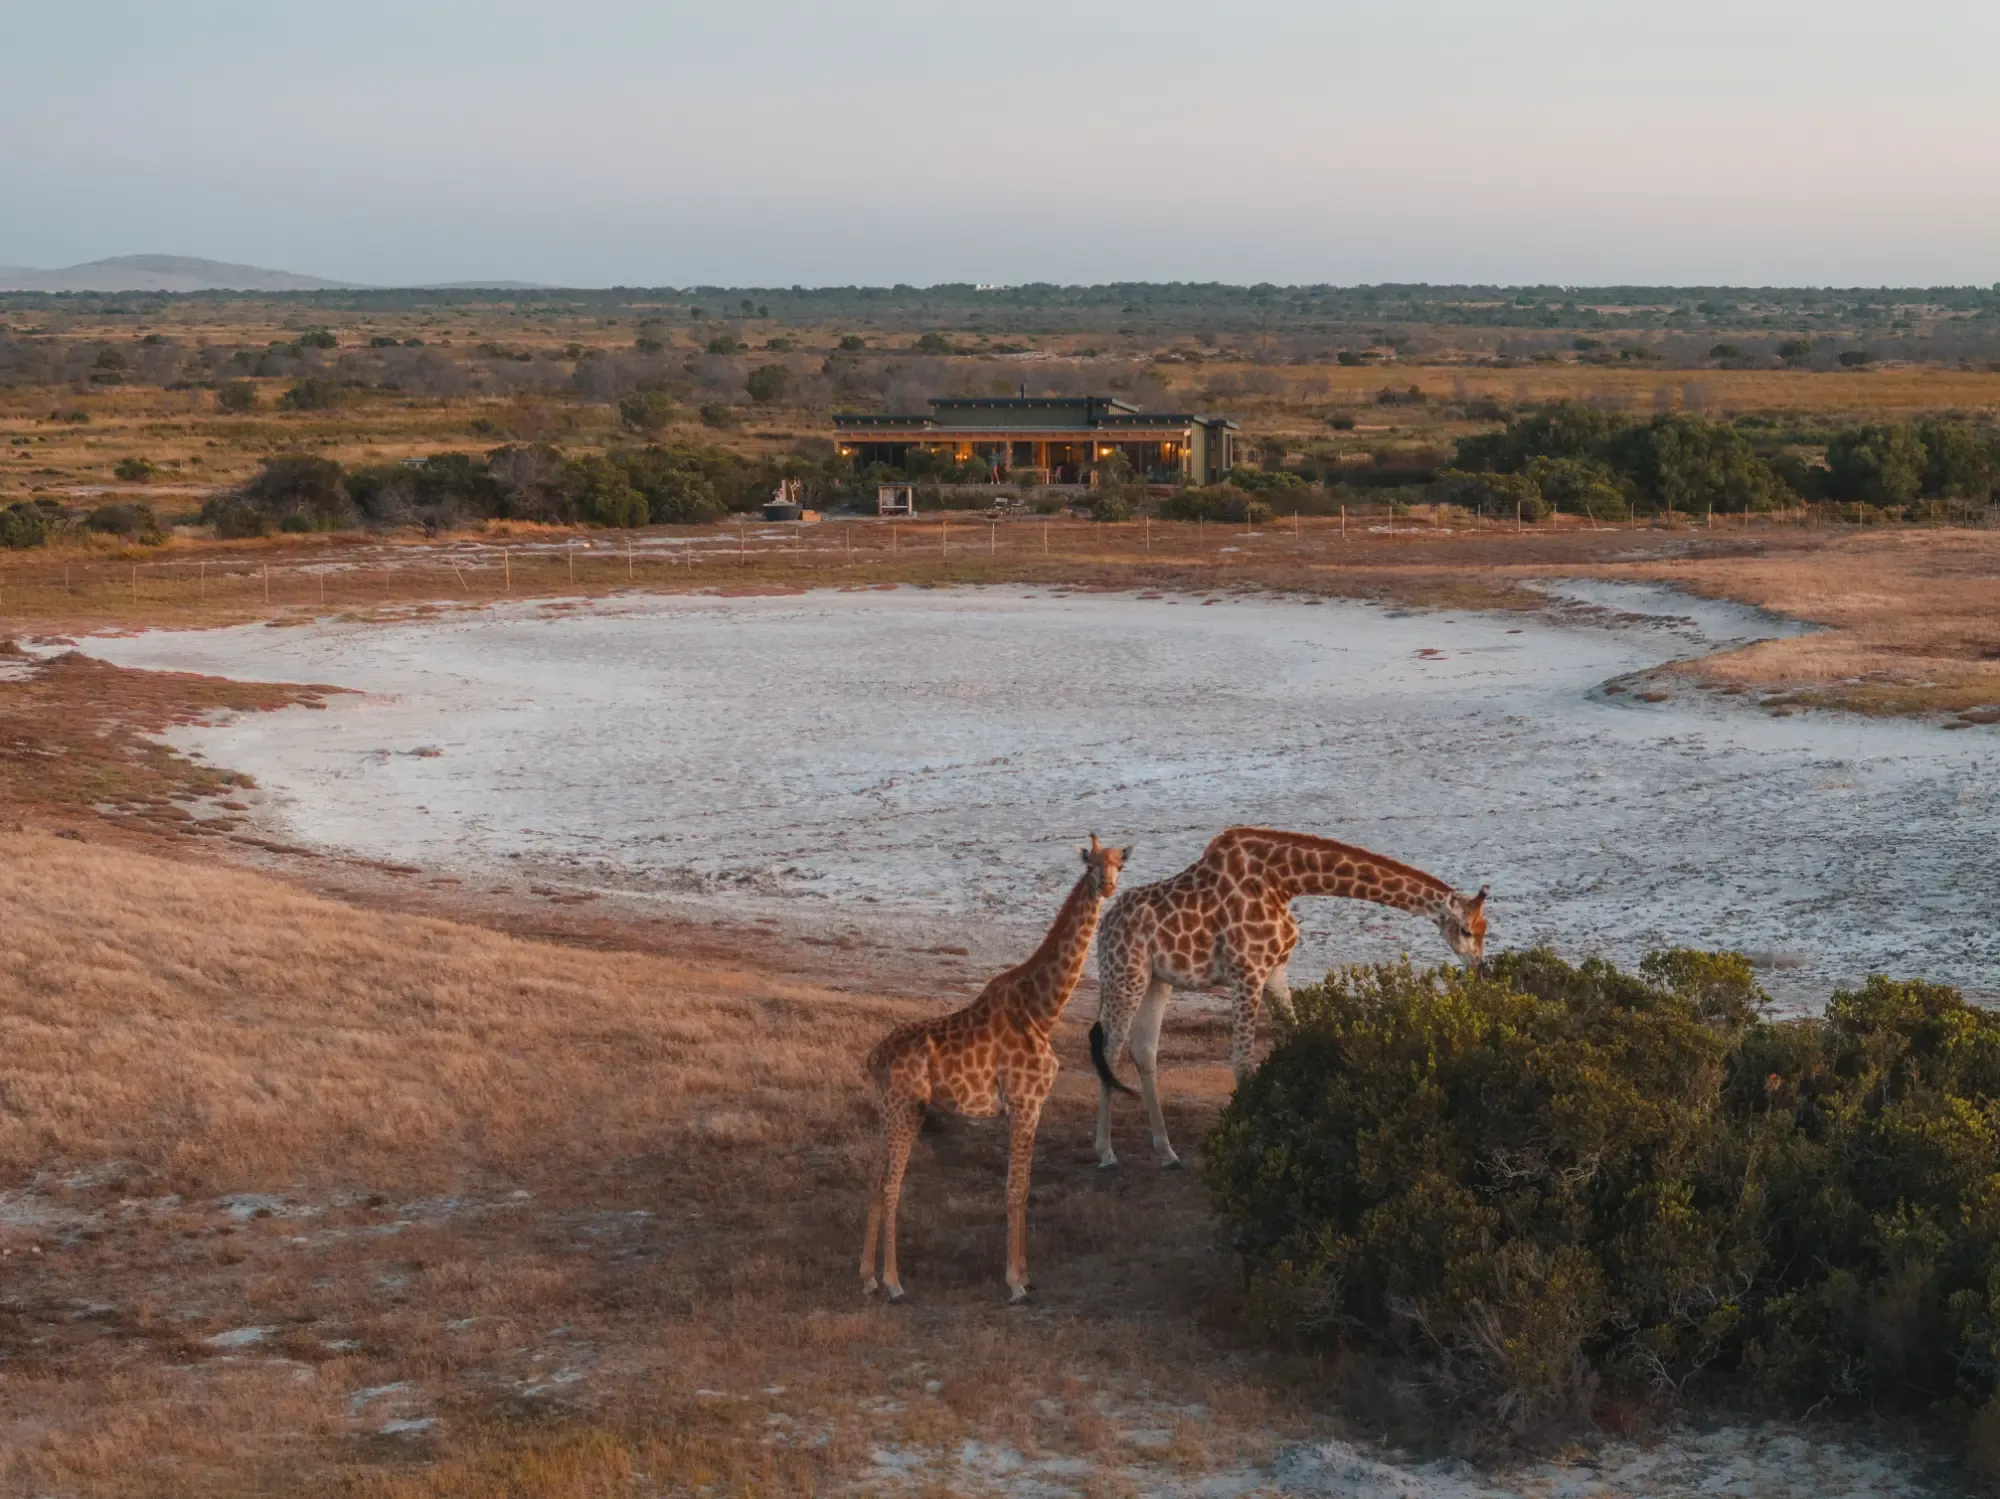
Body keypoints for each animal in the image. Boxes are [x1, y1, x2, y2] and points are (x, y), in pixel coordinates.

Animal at [860, 835, 1127, 1303]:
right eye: (1090, 864)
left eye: (1120, 864)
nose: (1108, 886)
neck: (1044, 1011)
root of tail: (874, 1058)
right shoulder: (1024, 1103)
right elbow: (1015, 1189)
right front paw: (1015, 1283)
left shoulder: (1030, 1107)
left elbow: (1024, 1188)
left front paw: (1025, 1275)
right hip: (905, 1110)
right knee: (891, 1185)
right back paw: (893, 1282)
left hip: (888, 1114)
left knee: (876, 1180)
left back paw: (867, 1277)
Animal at [1090, 826, 1486, 1169]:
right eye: (1467, 930)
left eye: (1485, 928)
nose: (1479, 966)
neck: (1284, 883)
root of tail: (1105, 927)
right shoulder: (1247, 972)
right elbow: (1242, 1063)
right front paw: (1249, 1144)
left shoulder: (1274, 971)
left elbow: (1296, 1038)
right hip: (1125, 975)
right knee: (1110, 1050)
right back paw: (1106, 1152)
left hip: (1156, 980)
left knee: (1144, 1050)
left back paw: (1167, 1152)